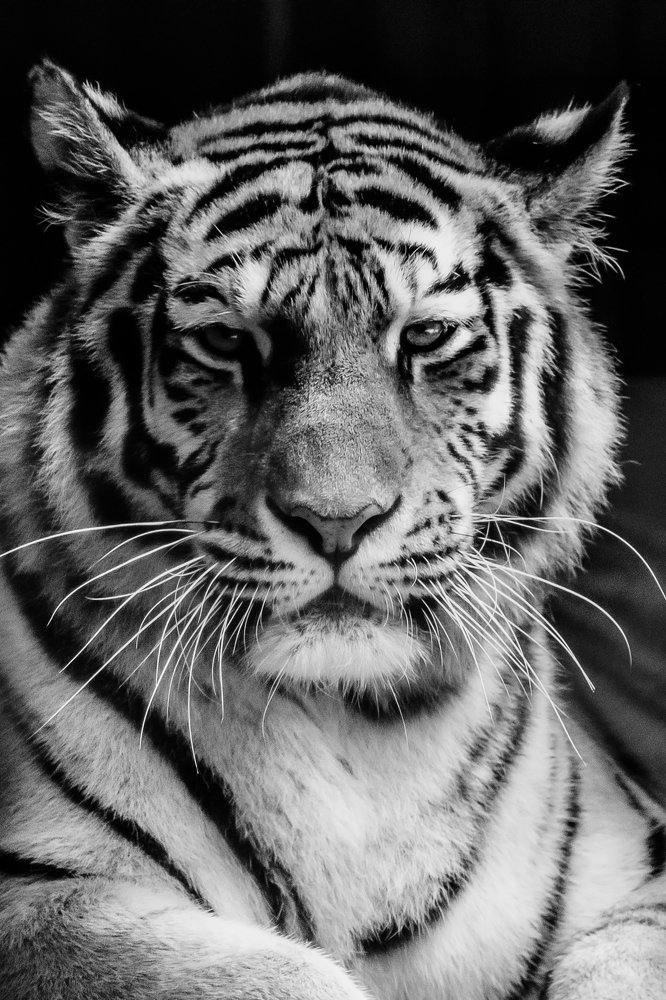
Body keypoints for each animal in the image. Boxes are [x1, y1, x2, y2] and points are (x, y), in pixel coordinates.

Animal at [0, 57, 664, 1000]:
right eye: (227, 342)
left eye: (426, 336)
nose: (337, 521)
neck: (363, 734)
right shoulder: (41, 891)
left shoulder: (636, 871)